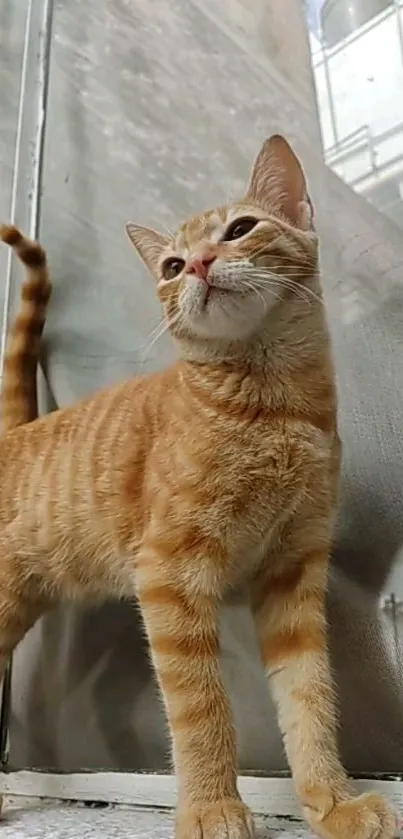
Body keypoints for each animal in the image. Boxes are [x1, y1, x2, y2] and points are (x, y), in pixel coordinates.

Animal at [0, 138, 398, 839]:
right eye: (170, 264)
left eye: (240, 230)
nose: (199, 265)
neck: (272, 408)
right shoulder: (169, 576)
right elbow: (201, 708)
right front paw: (212, 807)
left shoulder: (293, 576)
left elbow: (311, 698)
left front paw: (332, 803)